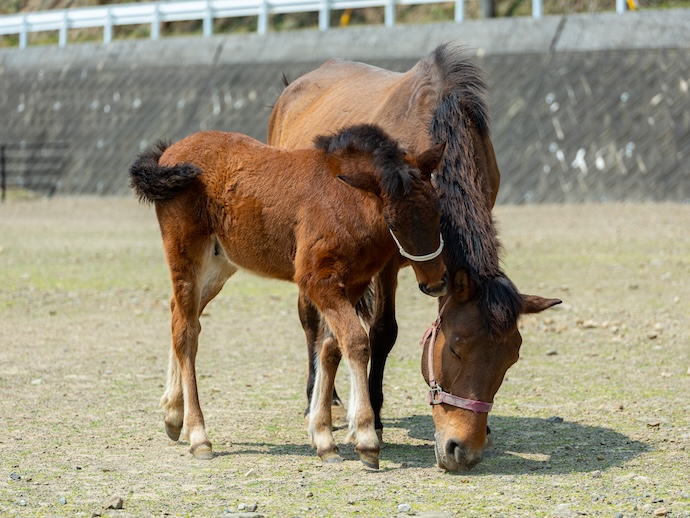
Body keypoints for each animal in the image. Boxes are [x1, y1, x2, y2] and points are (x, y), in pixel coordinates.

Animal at [128, 125, 446, 468]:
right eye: (392, 222)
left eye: (438, 210)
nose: (436, 283)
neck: (347, 200)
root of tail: (168, 154)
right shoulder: (317, 280)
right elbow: (356, 342)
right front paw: (365, 438)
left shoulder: (353, 283)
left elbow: (330, 348)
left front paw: (323, 438)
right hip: (186, 255)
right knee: (186, 332)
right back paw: (199, 436)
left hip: (219, 265)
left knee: (181, 317)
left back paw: (173, 415)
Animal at [268, 45, 560, 476]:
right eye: (455, 349)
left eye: (511, 360)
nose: (463, 450)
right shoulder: (386, 262)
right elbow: (382, 332)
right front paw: (372, 419)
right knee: (310, 320)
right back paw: (321, 400)